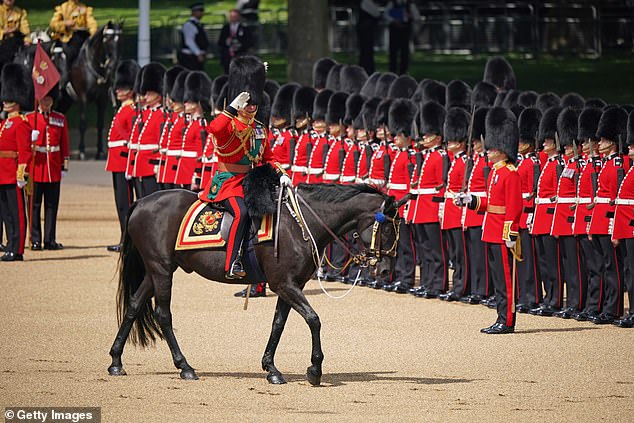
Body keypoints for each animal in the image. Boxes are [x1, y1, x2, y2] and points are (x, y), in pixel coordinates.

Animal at [107, 186, 404, 388]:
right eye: (388, 229)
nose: (385, 271)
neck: (299, 224)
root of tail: (142, 201)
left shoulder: (290, 285)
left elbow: (278, 324)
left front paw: (271, 367)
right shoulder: (284, 284)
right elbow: (313, 319)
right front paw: (315, 369)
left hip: (159, 269)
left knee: (134, 305)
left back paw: (116, 361)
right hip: (161, 269)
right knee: (163, 315)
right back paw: (184, 366)